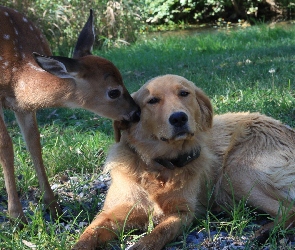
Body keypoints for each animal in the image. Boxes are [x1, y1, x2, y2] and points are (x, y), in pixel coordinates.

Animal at [73, 74, 295, 250]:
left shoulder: (182, 214)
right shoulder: (110, 215)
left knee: (289, 209)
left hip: (234, 174)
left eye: (184, 93)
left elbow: (157, 234)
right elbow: (87, 236)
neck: (159, 166)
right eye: (152, 101)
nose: (179, 118)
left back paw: (265, 233)